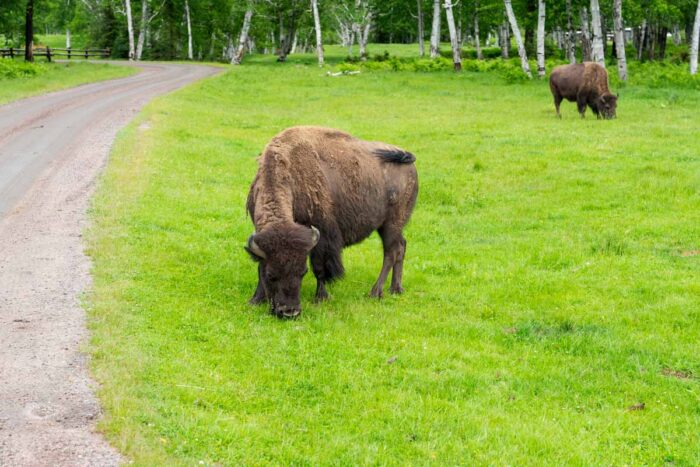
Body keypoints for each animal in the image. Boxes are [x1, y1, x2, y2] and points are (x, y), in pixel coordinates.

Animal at [245, 126, 419, 318]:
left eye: (302, 272)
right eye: (270, 275)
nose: (290, 312)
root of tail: (409, 162)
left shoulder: (323, 237)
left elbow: (320, 268)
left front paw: (321, 298)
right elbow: (259, 267)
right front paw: (255, 299)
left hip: (391, 224)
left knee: (391, 252)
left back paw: (375, 292)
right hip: (392, 226)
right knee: (401, 246)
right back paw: (395, 289)